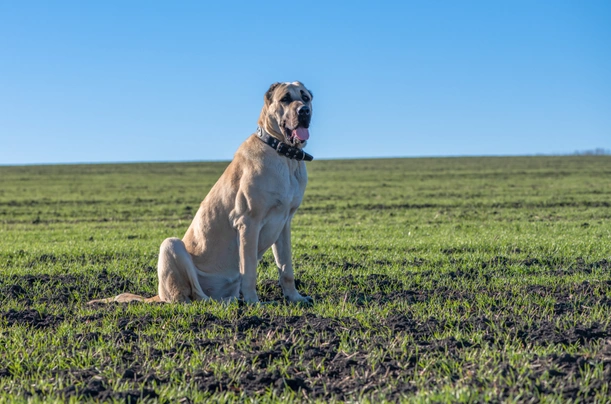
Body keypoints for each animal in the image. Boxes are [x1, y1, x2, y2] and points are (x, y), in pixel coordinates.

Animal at [91, 81, 316, 304]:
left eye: (305, 98)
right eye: (285, 98)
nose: (304, 111)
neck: (285, 157)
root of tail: (159, 294)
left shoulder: (284, 223)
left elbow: (286, 267)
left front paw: (295, 297)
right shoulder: (248, 222)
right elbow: (250, 269)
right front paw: (254, 303)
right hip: (171, 245)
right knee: (193, 297)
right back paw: (226, 303)